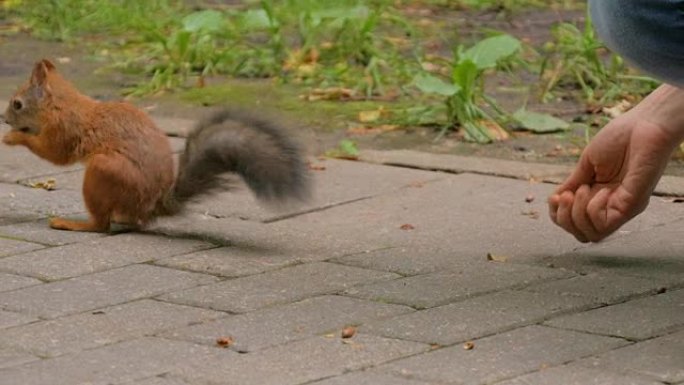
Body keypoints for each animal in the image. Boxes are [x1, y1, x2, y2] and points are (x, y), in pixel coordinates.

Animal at [0, 57, 310, 231]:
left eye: (17, 104)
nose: (3, 118)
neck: (62, 105)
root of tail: (149, 207)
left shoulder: (65, 130)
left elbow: (55, 154)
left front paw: (12, 137)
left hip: (105, 170)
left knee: (101, 226)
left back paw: (72, 224)